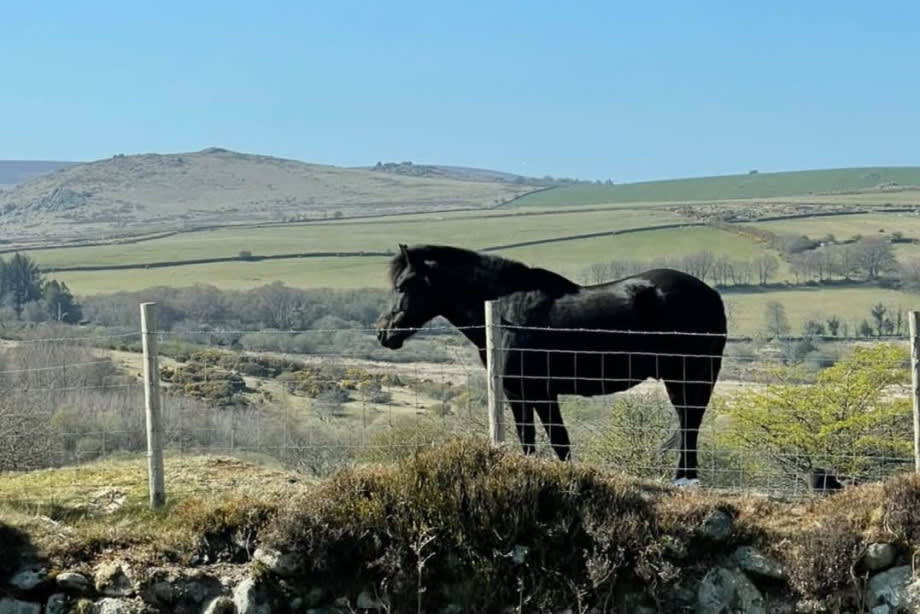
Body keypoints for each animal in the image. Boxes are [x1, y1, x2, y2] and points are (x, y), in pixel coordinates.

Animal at [375, 244, 727, 485]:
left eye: (403, 285)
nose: (384, 333)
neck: (507, 311)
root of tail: (712, 295)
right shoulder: (523, 392)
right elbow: (536, 439)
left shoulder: (535, 391)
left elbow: (551, 440)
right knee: (689, 422)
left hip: (686, 375)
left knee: (689, 422)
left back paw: (684, 479)